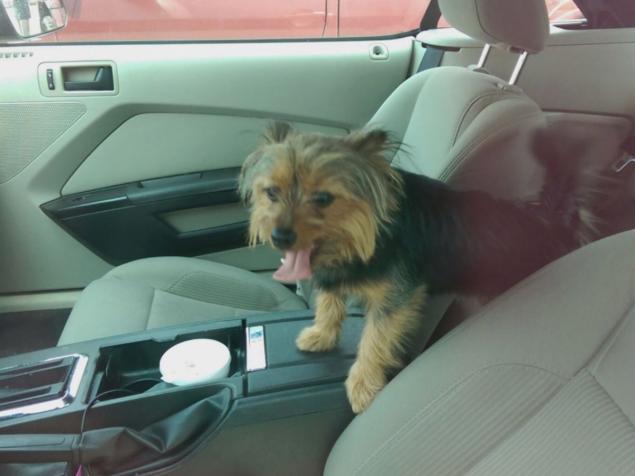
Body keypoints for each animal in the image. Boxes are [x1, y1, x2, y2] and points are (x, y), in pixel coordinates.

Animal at [240, 122, 600, 412]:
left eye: (323, 199)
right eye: (272, 192)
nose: (281, 236)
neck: (372, 230)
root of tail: (553, 220)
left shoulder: (398, 296)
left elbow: (375, 338)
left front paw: (363, 385)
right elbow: (330, 301)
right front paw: (322, 334)